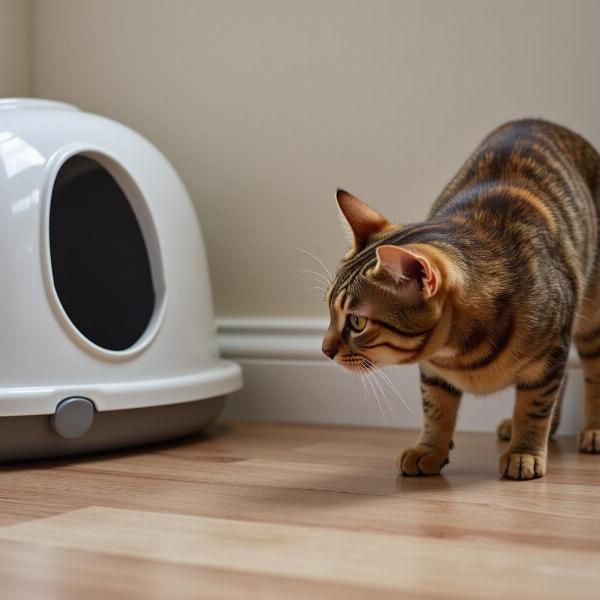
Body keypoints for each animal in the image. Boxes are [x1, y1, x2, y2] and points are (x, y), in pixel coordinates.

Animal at [322, 119, 600, 480]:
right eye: (329, 310)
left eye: (357, 321)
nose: (324, 350)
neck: (461, 353)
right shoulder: (433, 371)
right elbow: (436, 406)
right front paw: (429, 449)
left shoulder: (552, 350)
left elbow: (535, 406)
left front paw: (524, 452)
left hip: (591, 319)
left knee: (591, 374)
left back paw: (592, 430)